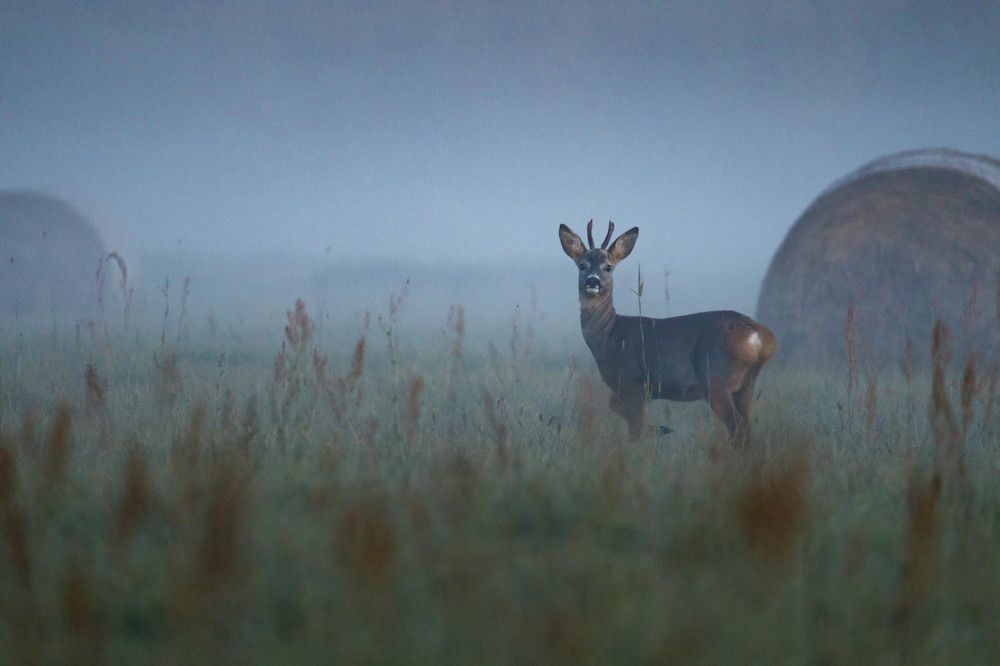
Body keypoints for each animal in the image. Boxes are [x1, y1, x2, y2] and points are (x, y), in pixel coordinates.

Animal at [559, 220, 777, 447]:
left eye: (608, 266)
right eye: (582, 265)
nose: (593, 281)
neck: (610, 335)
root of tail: (760, 335)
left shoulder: (631, 382)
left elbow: (637, 428)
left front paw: (655, 433)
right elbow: (621, 410)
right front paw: (660, 429)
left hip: (717, 378)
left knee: (738, 426)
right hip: (746, 383)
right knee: (747, 425)